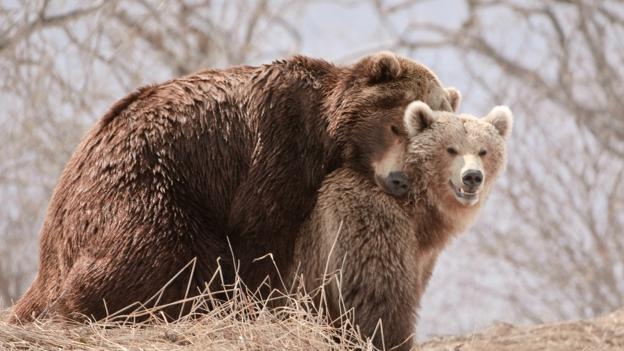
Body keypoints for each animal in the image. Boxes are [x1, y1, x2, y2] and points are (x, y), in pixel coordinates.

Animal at [7, 51, 460, 324]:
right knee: (152, 249)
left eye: (430, 136)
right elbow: (261, 233)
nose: (400, 180)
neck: (325, 136)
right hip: (143, 188)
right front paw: (260, 303)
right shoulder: (276, 147)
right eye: (401, 124)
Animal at [292, 100, 512, 350]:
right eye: (451, 149)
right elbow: (381, 297)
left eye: (483, 151)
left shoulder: (423, 256)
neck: (417, 206)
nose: (472, 176)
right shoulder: (367, 219)